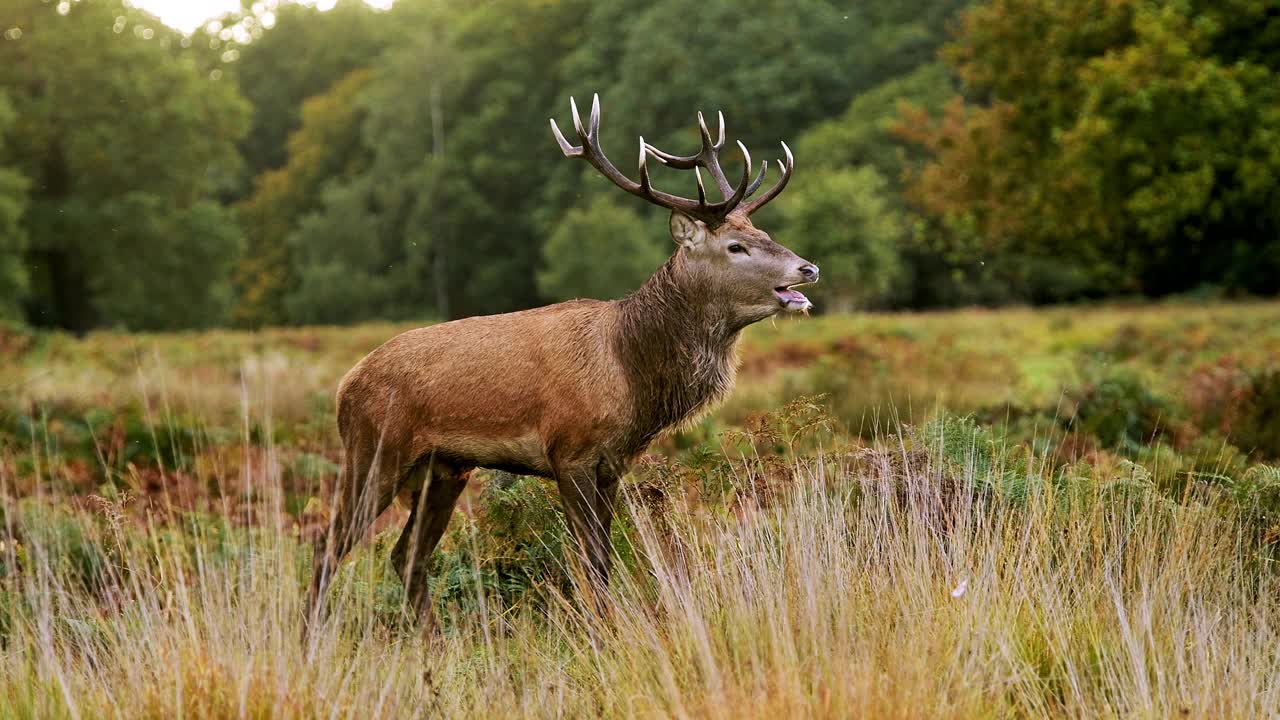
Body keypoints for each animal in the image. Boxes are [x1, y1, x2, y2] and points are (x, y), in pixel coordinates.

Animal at [304, 94, 814, 632]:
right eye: (736, 246)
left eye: (763, 230)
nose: (808, 268)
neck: (631, 373)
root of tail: (345, 385)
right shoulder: (569, 451)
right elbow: (592, 561)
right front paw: (604, 632)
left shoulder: (613, 464)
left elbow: (604, 559)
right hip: (374, 450)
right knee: (328, 547)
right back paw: (312, 636)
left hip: (442, 470)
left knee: (406, 557)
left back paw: (434, 640)